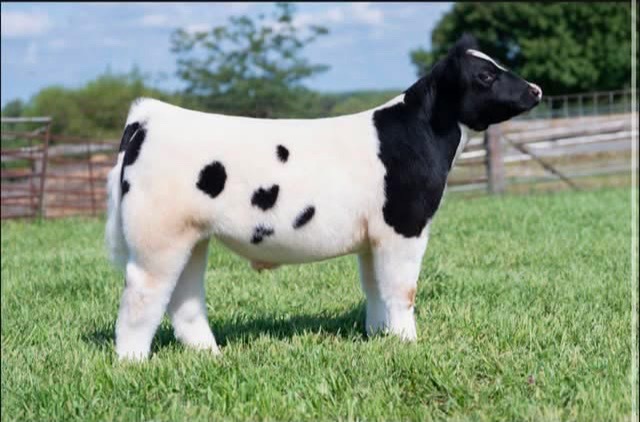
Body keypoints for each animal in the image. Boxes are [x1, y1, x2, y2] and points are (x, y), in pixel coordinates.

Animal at [106, 34, 542, 361]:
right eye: (485, 74)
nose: (536, 89)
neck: (420, 134)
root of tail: (149, 116)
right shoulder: (404, 226)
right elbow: (402, 289)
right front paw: (407, 342)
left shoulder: (373, 237)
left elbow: (374, 287)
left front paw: (380, 336)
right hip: (157, 237)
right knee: (141, 296)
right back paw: (133, 362)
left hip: (191, 236)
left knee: (184, 296)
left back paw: (209, 354)